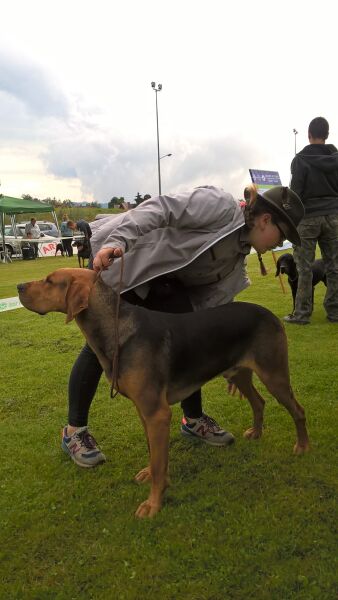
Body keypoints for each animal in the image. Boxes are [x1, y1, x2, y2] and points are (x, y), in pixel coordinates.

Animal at [17, 270, 308, 516]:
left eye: (50, 281)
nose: (19, 287)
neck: (117, 329)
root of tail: (268, 313)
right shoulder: (144, 413)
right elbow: (154, 456)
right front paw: (152, 477)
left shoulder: (157, 414)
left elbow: (159, 464)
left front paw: (153, 503)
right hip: (239, 373)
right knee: (259, 403)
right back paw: (257, 433)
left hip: (274, 375)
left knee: (298, 410)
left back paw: (303, 446)